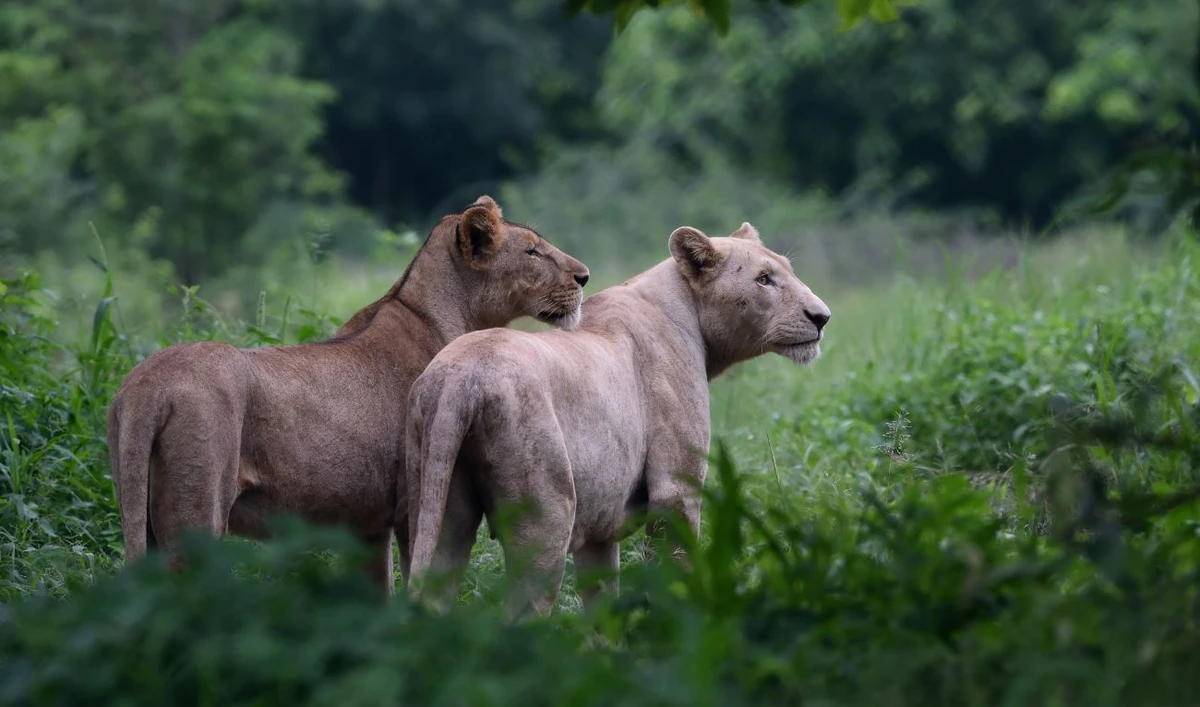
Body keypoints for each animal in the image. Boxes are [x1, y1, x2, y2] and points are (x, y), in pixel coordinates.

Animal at [106, 195, 590, 591]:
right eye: (532, 251)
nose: (585, 276)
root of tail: (145, 386)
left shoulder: (367, 525)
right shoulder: (414, 505)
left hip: (143, 514)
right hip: (198, 513)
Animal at [404, 221, 831, 617]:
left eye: (788, 270)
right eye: (763, 279)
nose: (822, 317)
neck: (690, 317)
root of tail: (459, 378)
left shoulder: (599, 526)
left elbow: (603, 604)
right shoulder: (675, 490)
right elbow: (673, 572)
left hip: (439, 506)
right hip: (547, 513)